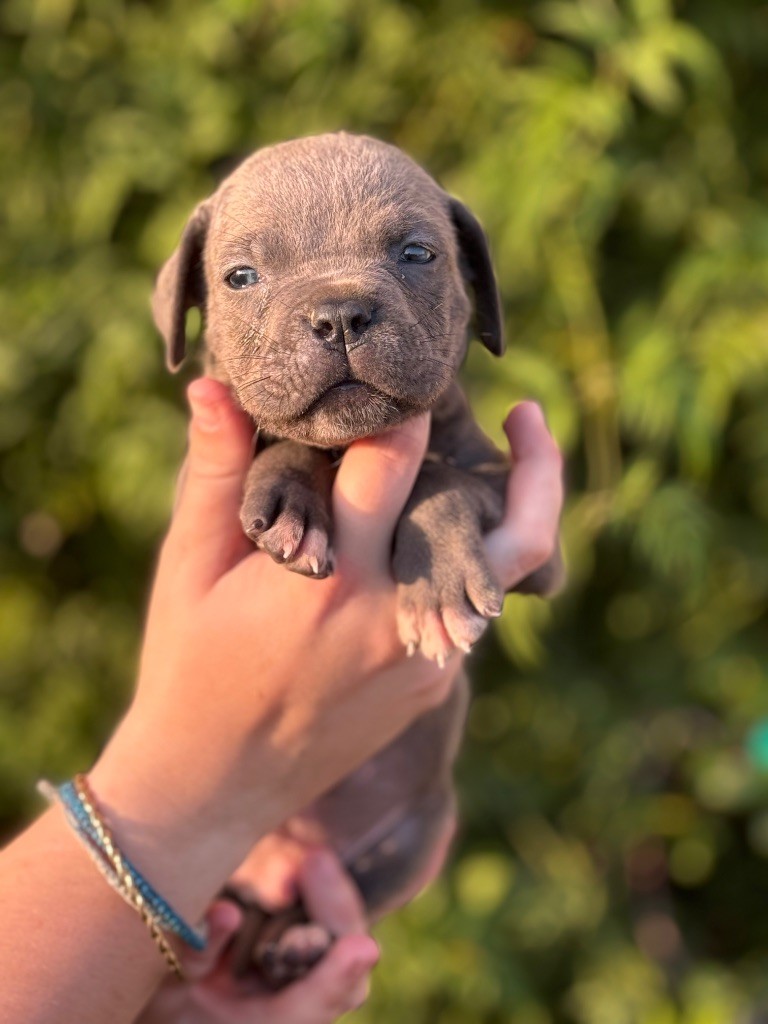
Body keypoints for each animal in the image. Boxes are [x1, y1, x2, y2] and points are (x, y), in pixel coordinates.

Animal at [151, 134, 561, 983]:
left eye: (416, 254)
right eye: (242, 277)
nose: (339, 314)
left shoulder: (529, 529)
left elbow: (438, 478)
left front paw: (436, 584)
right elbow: (288, 440)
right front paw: (289, 495)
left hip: (417, 839)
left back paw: (301, 941)